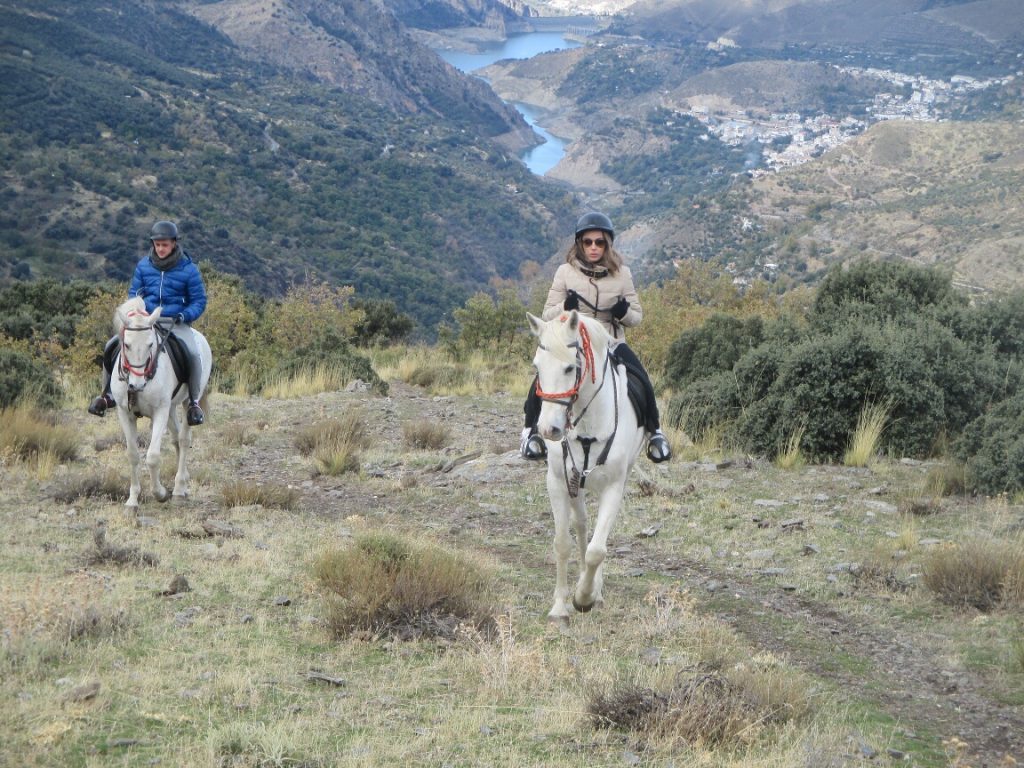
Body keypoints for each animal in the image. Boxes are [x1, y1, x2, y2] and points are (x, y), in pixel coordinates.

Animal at [108, 296, 211, 507]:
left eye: (150, 344)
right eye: (127, 344)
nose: (136, 384)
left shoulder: (160, 411)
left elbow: (153, 457)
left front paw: (160, 493)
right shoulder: (125, 413)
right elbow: (133, 455)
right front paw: (133, 499)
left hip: (187, 402)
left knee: (184, 439)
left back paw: (179, 488)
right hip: (171, 408)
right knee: (176, 439)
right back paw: (183, 484)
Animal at [528, 311, 638, 626]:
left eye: (570, 367)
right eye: (537, 367)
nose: (549, 429)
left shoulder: (614, 486)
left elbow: (597, 550)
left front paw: (585, 597)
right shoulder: (558, 481)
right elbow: (563, 543)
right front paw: (560, 607)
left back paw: (593, 590)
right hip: (575, 485)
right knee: (581, 525)